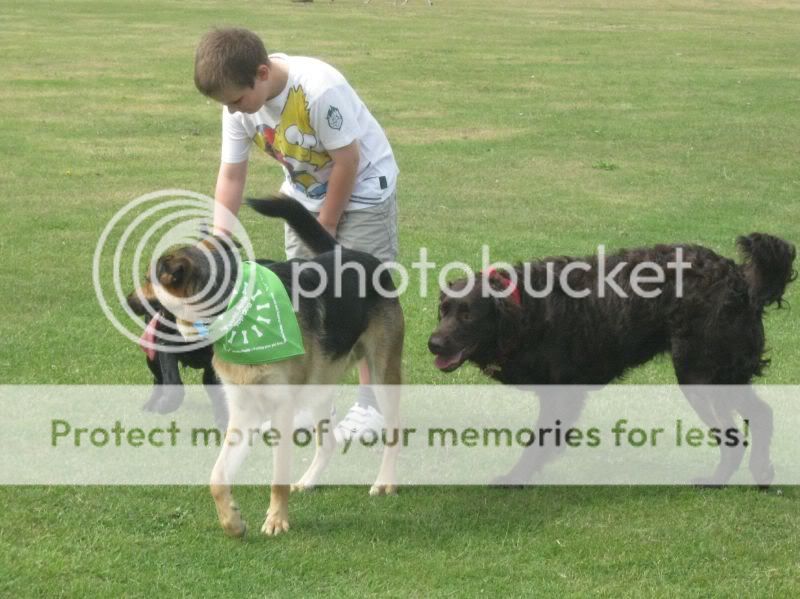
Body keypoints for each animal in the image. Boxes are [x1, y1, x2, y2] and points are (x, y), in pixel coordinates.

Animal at [132, 197, 406, 540]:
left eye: (148, 279)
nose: (128, 301)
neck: (234, 311)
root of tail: (353, 254)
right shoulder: (242, 412)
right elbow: (217, 477)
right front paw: (232, 522)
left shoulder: (281, 409)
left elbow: (277, 477)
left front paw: (277, 520)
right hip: (320, 387)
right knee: (327, 443)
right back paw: (309, 480)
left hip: (383, 375)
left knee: (394, 431)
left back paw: (385, 482)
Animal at [428, 234, 796, 488]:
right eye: (443, 311)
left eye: (467, 315)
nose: (433, 344)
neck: (526, 309)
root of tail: (739, 279)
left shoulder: (560, 394)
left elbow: (538, 441)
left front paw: (516, 477)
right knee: (760, 416)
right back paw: (758, 471)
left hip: (700, 375)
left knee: (739, 434)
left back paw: (720, 479)